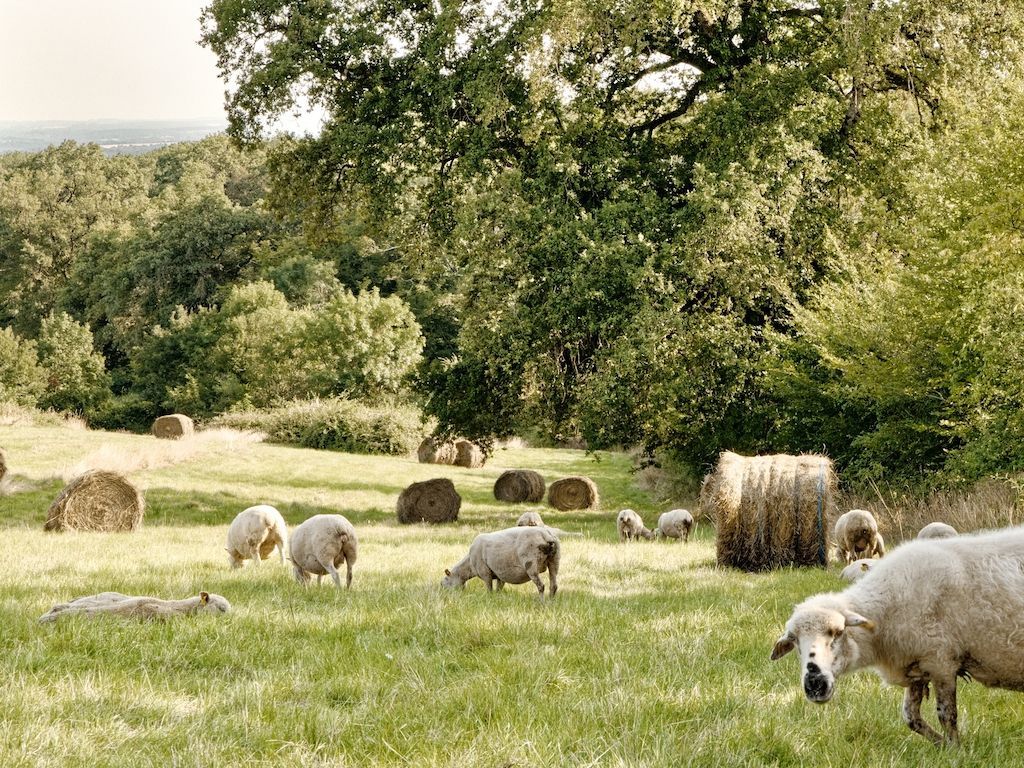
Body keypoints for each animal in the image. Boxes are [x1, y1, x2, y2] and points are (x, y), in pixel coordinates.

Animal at [770, 528, 1024, 749]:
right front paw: (942, 745)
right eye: (794, 641)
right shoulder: (916, 667)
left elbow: (947, 714)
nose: (815, 684)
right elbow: (911, 718)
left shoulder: (940, 661)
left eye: (838, 632)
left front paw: (956, 750)